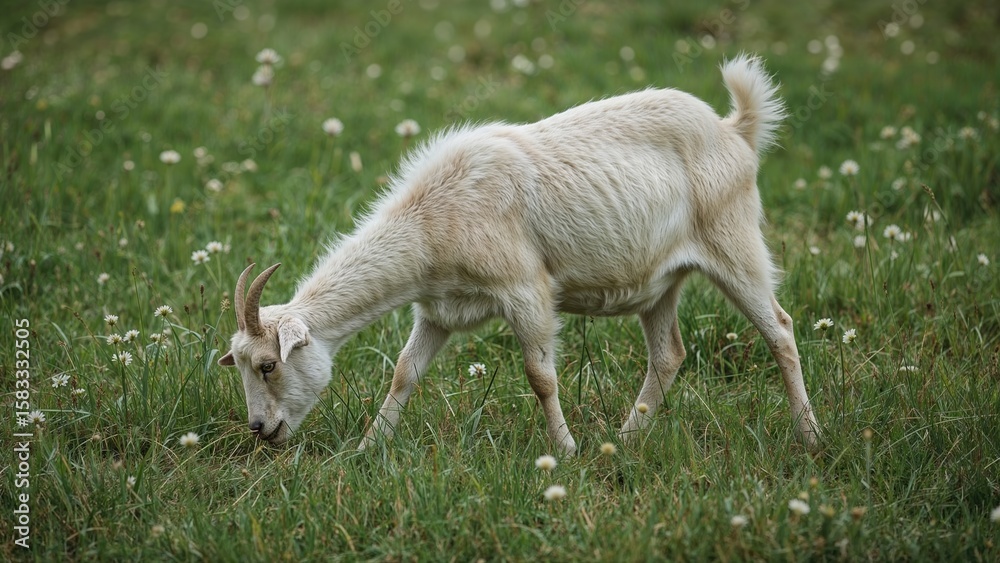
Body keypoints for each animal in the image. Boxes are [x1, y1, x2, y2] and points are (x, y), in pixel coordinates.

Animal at [218, 54, 820, 455]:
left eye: (269, 364)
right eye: (241, 364)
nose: (260, 430)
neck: (432, 220)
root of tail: (735, 129)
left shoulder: (526, 289)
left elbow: (540, 375)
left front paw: (566, 451)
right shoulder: (437, 310)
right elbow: (404, 373)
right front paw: (368, 449)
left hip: (734, 240)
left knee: (780, 330)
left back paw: (809, 436)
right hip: (661, 280)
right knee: (669, 354)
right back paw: (626, 438)